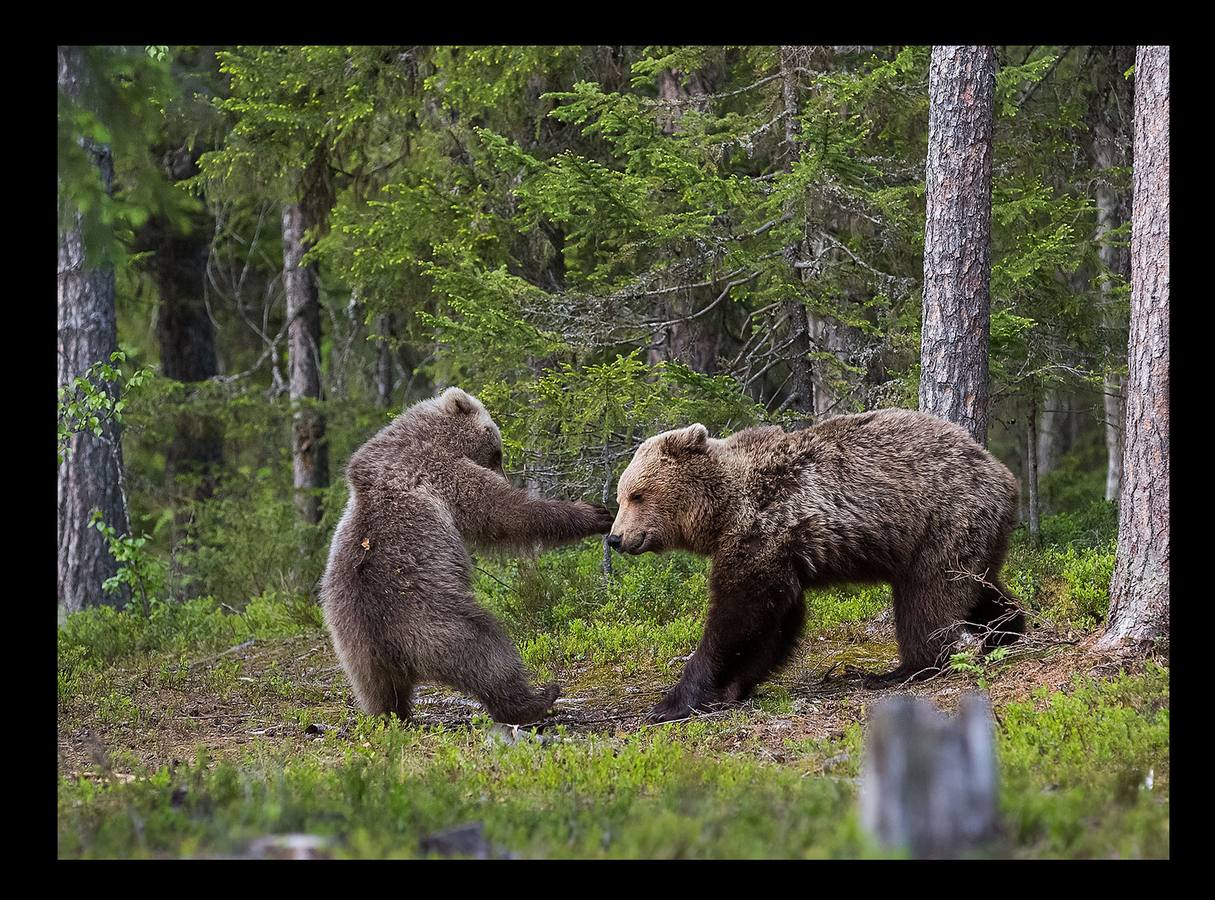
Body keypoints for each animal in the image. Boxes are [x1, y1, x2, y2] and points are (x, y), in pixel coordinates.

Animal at [318, 386, 612, 723]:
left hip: (352, 648)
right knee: (487, 653)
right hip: (437, 621)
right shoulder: (439, 469)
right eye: (497, 452)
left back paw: (393, 716)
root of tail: (391, 647)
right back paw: (535, 699)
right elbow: (502, 511)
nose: (505, 474)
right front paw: (591, 514)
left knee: (379, 692)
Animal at [607, 408, 1025, 723]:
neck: (721, 510)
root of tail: (1004, 475)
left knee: (927, 596)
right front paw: (732, 687)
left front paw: (672, 702)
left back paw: (904, 669)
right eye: (621, 496)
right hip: (968, 534)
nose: (615, 537)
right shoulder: (777, 552)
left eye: (637, 494)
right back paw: (1007, 628)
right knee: (976, 584)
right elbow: (774, 624)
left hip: (941, 521)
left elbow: (740, 617)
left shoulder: (762, 532)